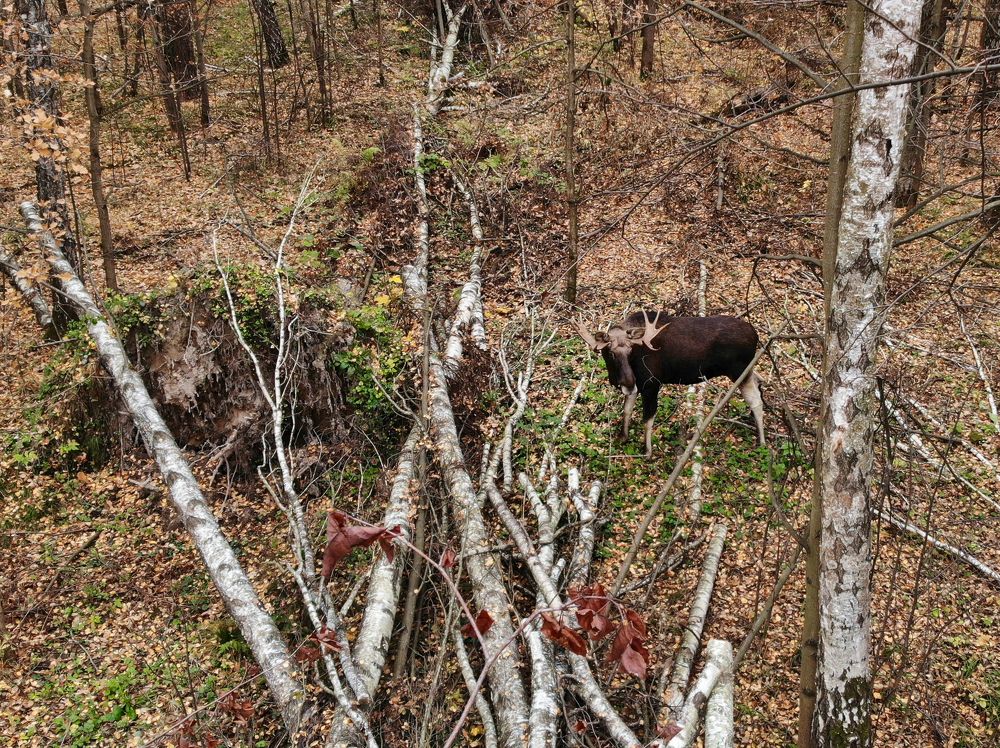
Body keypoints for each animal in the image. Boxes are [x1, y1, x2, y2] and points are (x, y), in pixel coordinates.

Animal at [577, 310, 765, 457]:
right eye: (610, 352)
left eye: (630, 350)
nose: (628, 381)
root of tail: (756, 335)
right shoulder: (637, 386)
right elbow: (627, 410)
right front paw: (622, 437)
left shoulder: (652, 384)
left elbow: (648, 419)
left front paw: (647, 451)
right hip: (746, 369)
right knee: (759, 381)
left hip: (739, 371)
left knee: (756, 400)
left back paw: (762, 441)